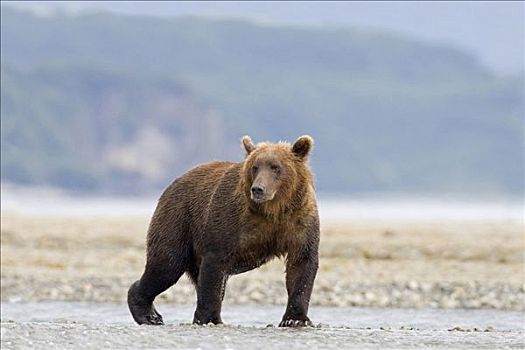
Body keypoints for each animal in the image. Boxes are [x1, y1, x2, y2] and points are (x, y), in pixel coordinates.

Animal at [128, 135, 320, 326]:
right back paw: (149, 314)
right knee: (167, 265)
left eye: (276, 167)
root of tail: (172, 184)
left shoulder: (298, 222)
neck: (273, 211)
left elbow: (301, 265)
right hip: (178, 219)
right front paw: (209, 318)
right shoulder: (229, 221)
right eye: (255, 167)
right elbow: (214, 266)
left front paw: (295, 319)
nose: (258, 189)